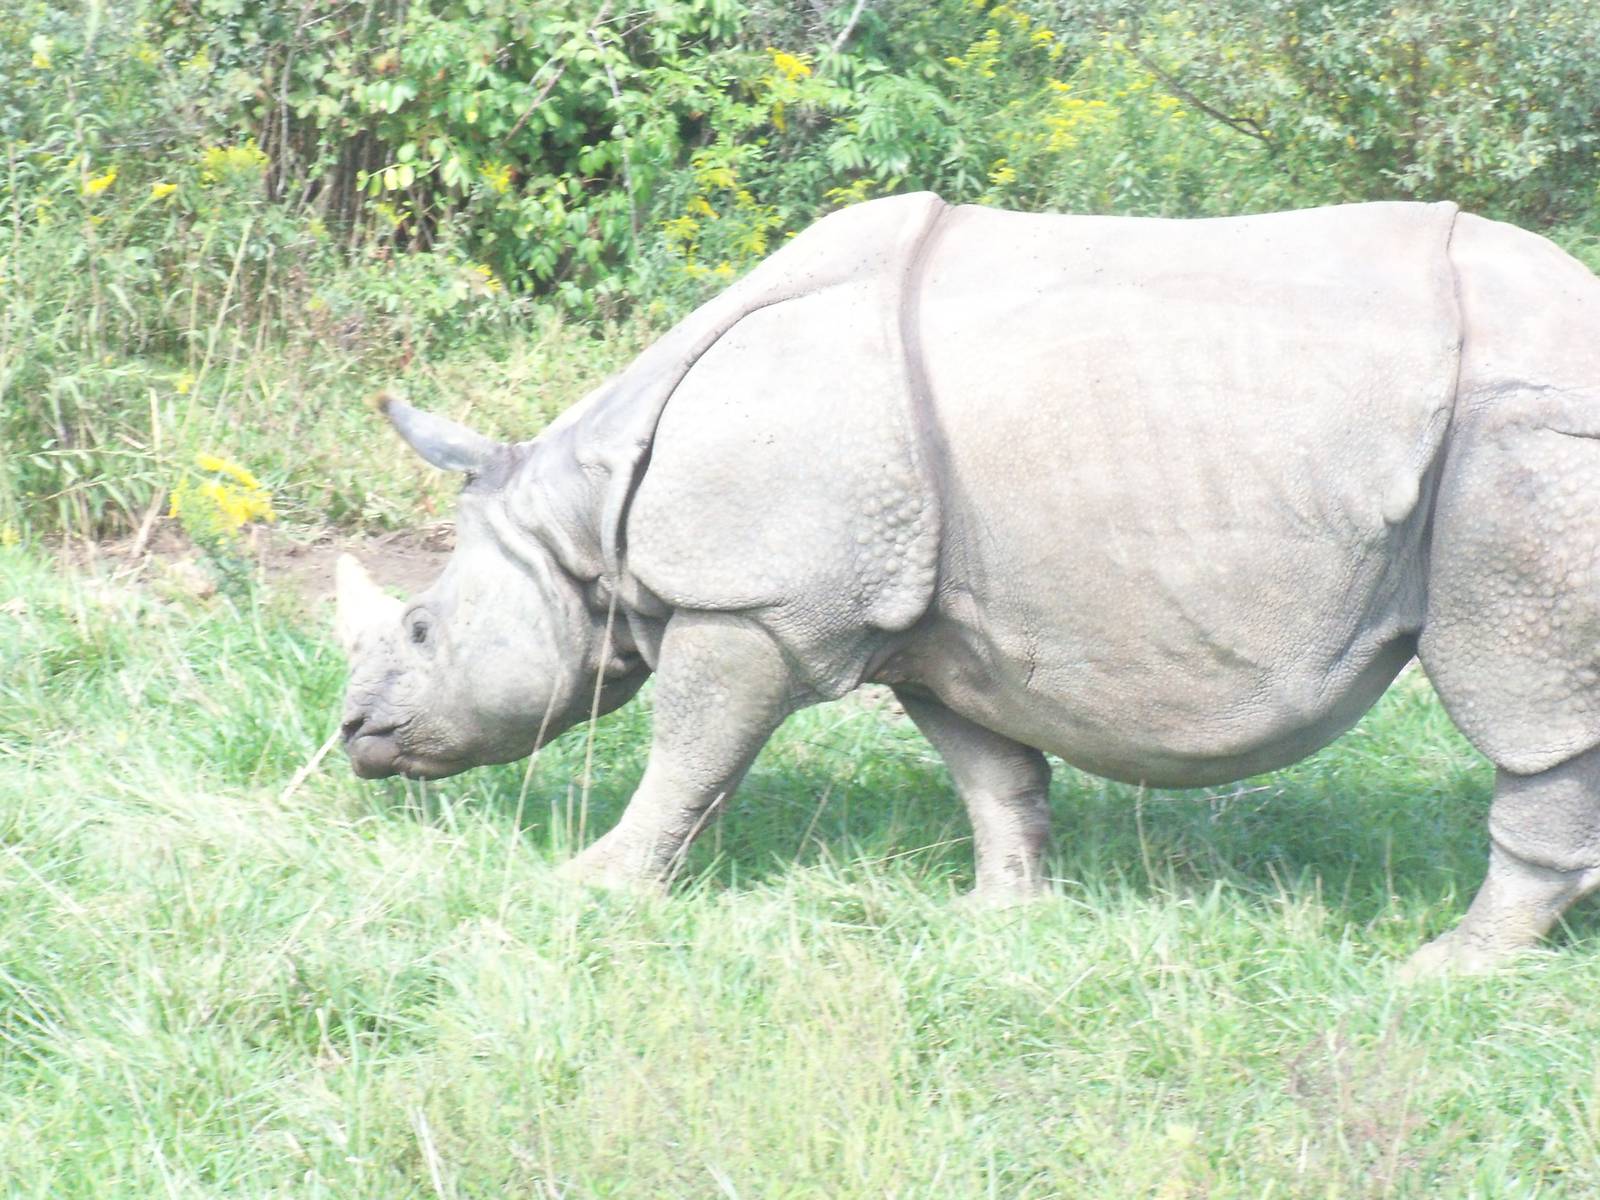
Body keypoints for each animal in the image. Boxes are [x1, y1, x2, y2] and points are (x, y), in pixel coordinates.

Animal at [335, 192, 1600, 976]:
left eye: (420, 626)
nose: (353, 734)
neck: (585, 512)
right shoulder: (935, 624)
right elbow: (989, 767)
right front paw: (996, 917)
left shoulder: (755, 605)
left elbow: (687, 755)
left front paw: (590, 886)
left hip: (1524, 440)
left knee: (1528, 702)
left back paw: (1444, 971)